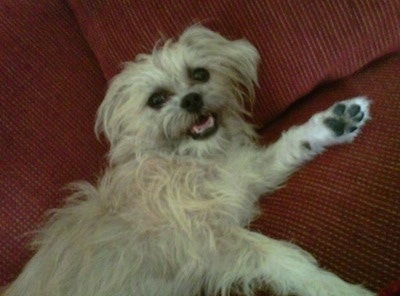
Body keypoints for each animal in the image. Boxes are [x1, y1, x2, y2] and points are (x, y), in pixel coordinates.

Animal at [3, 26, 374, 296]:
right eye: (156, 100)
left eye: (200, 74)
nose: (192, 100)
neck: (190, 163)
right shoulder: (209, 245)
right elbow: (282, 257)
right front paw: (340, 289)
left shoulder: (241, 178)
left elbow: (288, 146)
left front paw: (333, 123)